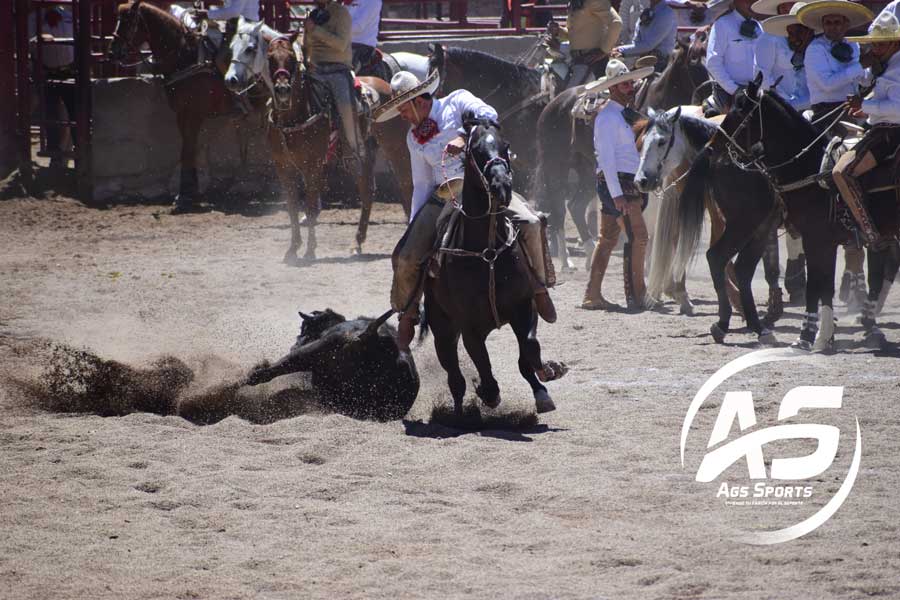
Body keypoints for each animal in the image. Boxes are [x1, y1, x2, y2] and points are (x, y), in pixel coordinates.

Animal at [109, 0, 250, 213]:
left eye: (129, 21)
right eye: (118, 19)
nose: (113, 52)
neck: (186, 58)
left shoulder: (195, 114)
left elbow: (188, 149)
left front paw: (184, 196)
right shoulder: (182, 114)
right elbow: (187, 148)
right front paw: (191, 192)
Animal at [264, 37, 412, 262]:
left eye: (292, 59)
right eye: (270, 58)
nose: (282, 89)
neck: (295, 116)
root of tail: (389, 88)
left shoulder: (313, 166)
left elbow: (310, 206)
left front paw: (310, 250)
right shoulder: (282, 167)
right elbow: (292, 208)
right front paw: (293, 248)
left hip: (396, 148)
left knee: (407, 185)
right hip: (362, 153)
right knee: (367, 191)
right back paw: (357, 243)